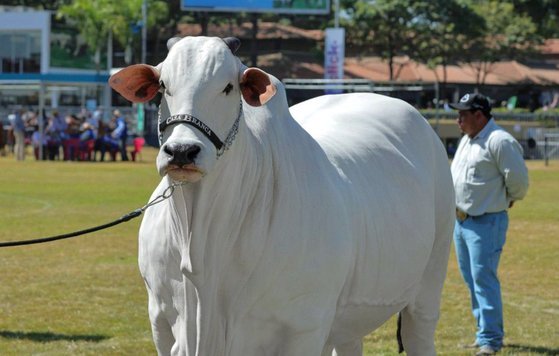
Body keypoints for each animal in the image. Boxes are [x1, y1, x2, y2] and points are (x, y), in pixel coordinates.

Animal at [108, 36, 456, 356]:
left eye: (228, 87)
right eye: (163, 86)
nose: (181, 151)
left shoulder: (304, 328)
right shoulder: (161, 323)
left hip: (430, 281)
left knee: (419, 331)